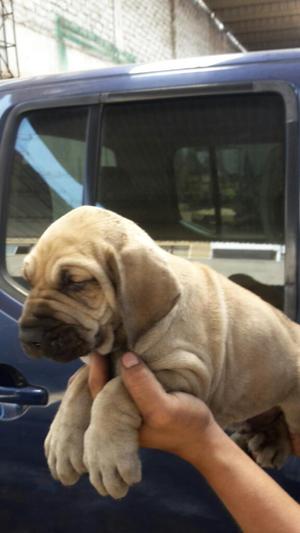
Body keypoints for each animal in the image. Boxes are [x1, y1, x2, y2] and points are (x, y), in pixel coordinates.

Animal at [18, 206, 300, 496]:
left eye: (75, 283)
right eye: (28, 281)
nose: (28, 338)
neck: (122, 338)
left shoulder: (187, 374)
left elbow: (116, 389)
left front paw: (106, 456)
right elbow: (80, 384)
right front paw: (61, 442)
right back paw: (267, 441)